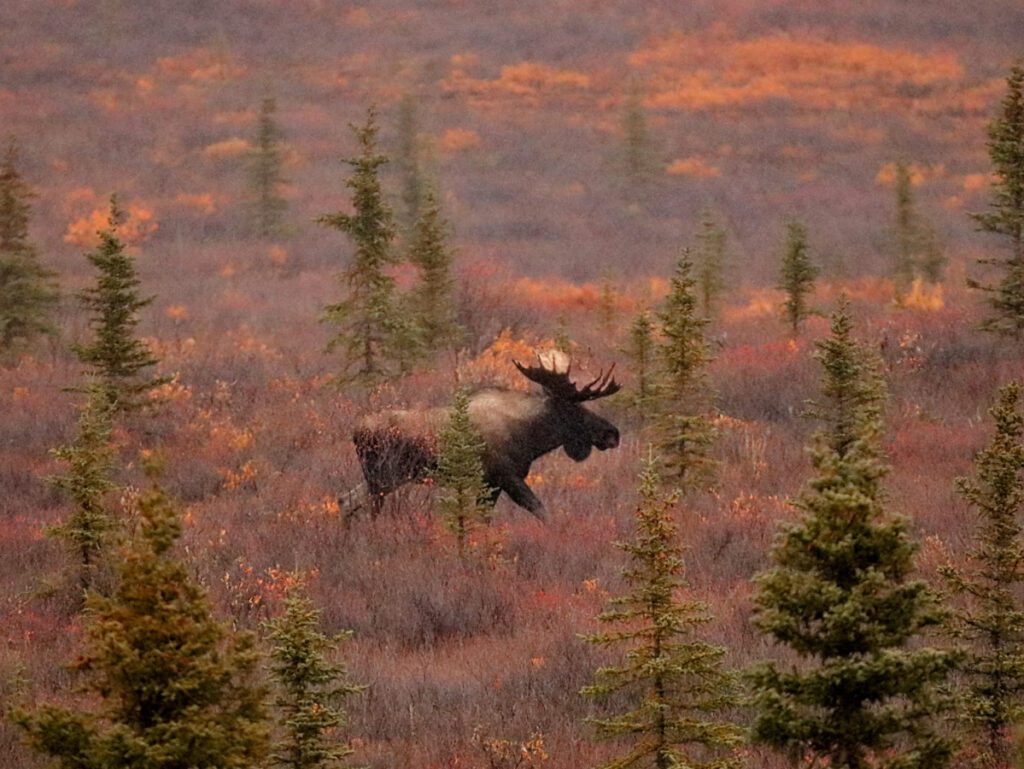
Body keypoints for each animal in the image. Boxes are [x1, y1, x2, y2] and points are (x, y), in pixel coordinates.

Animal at [339, 356, 618, 524]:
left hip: (388, 477)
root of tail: (354, 431)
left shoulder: (492, 483)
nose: (612, 433)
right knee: (366, 506)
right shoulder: (506, 477)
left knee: (345, 500)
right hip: (383, 477)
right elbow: (541, 511)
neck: (531, 437)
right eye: (576, 409)